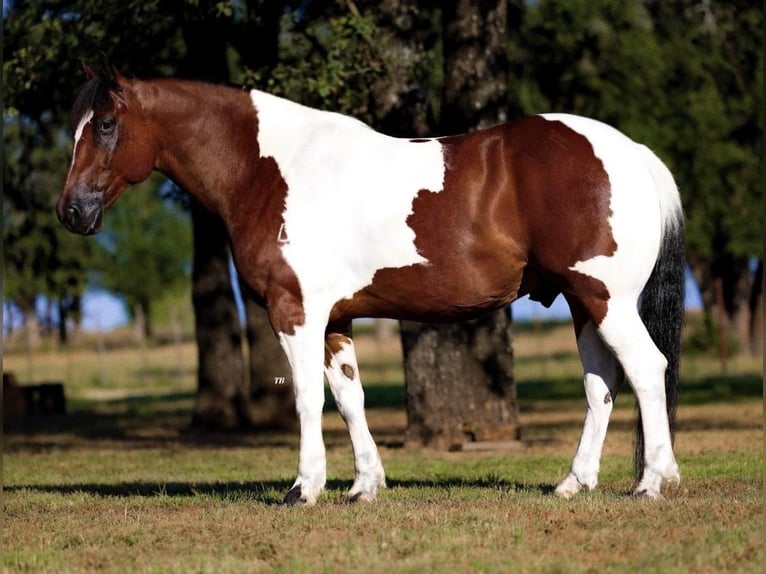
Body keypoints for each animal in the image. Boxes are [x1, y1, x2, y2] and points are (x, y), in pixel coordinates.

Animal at [57, 65, 688, 508]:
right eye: (76, 127)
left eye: (106, 124)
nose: (71, 211)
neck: (268, 170)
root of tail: (630, 151)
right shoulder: (335, 320)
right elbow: (348, 398)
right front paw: (364, 485)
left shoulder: (295, 312)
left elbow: (307, 398)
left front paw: (303, 488)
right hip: (584, 304)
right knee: (601, 384)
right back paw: (574, 483)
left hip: (606, 300)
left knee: (646, 370)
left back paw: (653, 482)